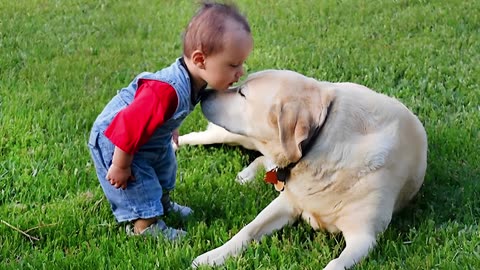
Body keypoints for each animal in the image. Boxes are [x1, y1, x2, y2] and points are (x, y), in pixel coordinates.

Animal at [188, 70, 428, 270]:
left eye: (242, 93)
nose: (205, 92)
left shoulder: (364, 236)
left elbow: (335, 264)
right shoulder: (286, 203)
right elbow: (247, 229)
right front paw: (212, 256)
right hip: (232, 136)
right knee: (197, 137)